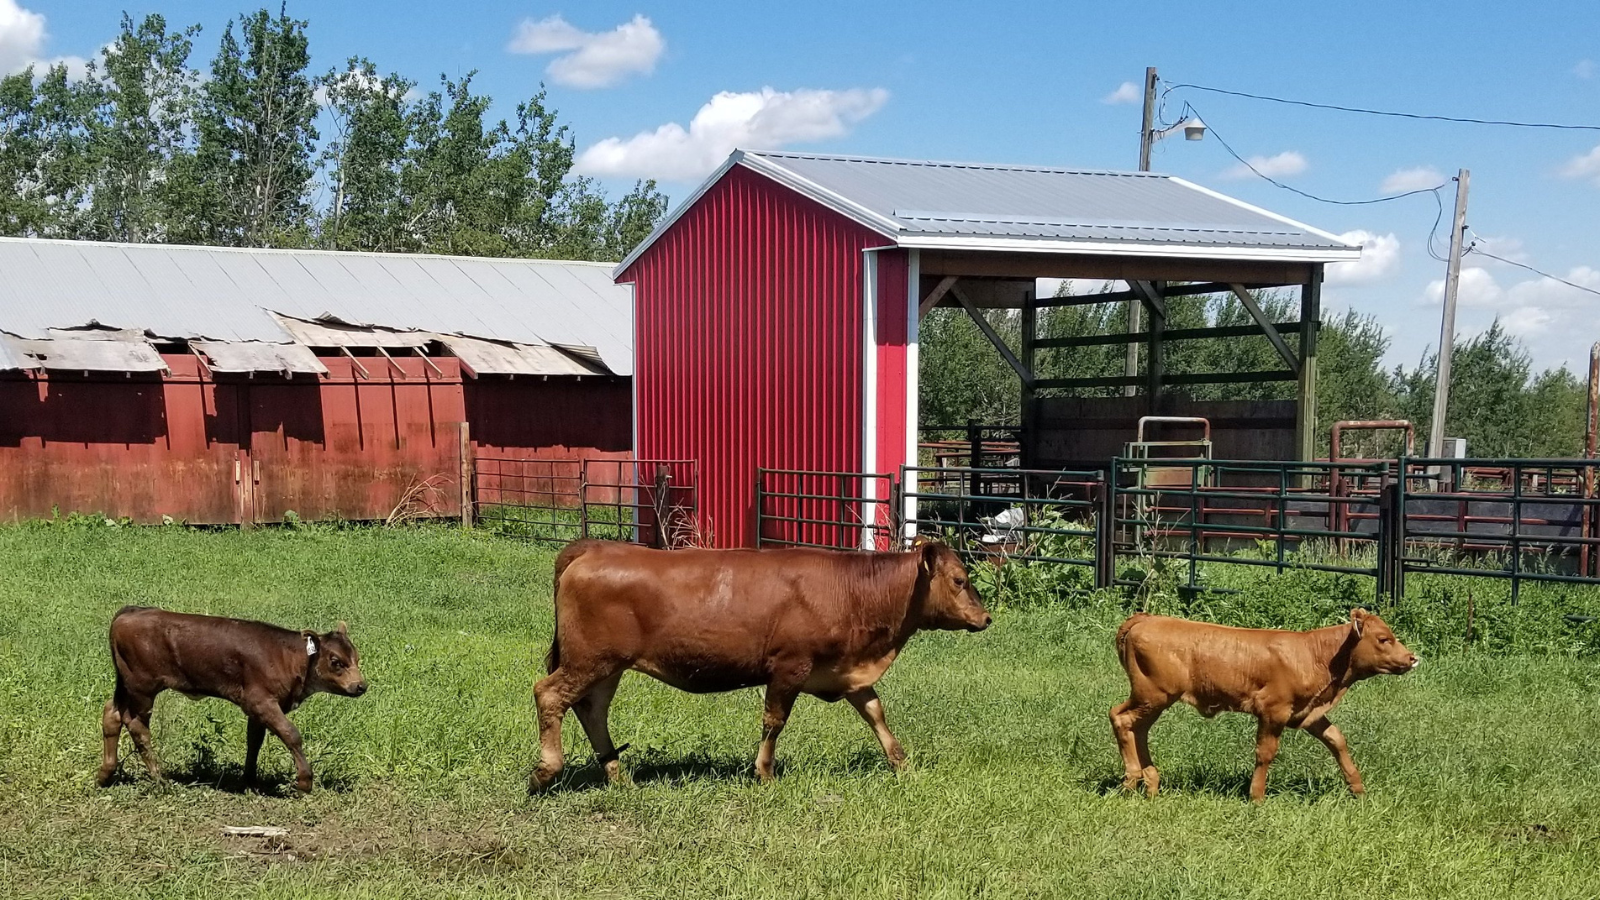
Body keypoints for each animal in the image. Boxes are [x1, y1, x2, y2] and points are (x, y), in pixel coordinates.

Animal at [97, 605, 368, 787]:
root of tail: (131, 611)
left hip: (127, 685)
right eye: (336, 661)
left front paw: (249, 780)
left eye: (356, 658)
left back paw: (105, 774)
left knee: (112, 712)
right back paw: (159, 778)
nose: (361, 686)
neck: (289, 658)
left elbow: (254, 741)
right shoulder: (261, 701)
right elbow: (291, 734)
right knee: (136, 725)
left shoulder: (258, 707)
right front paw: (304, 782)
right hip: (142, 687)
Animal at [531, 534, 992, 787]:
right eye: (960, 580)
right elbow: (774, 721)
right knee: (548, 694)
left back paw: (617, 775)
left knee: (592, 710)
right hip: (589, 660)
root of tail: (592, 549)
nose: (986, 618)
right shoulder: (790, 666)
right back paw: (546, 771)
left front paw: (902, 766)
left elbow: (876, 714)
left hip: (607, 667)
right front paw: (765, 772)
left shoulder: (848, 673)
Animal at [1107, 605, 1420, 800]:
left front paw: (1358, 788)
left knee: (1138, 728)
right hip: (1153, 694)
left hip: (1152, 700)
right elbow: (1265, 752)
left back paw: (1150, 782)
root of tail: (1146, 618)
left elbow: (1336, 739)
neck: (1314, 655)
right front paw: (1256, 796)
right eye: (1384, 639)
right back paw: (1132, 779)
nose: (1412, 658)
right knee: (1121, 718)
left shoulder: (1308, 713)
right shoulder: (1274, 711)